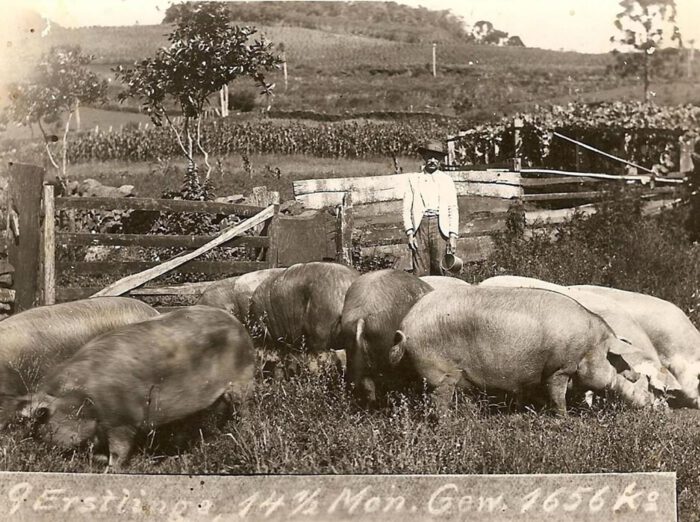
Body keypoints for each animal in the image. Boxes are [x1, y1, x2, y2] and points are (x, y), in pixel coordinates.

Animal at [19, 304, 258, 468]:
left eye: (43, 418)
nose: (38, 452)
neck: (84, 399)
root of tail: (237, 323)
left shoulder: (123, 421)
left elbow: (120, 450)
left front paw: (111, 468)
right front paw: (100, 459)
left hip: (243, 381)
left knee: (244, 409)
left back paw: (244, 432)